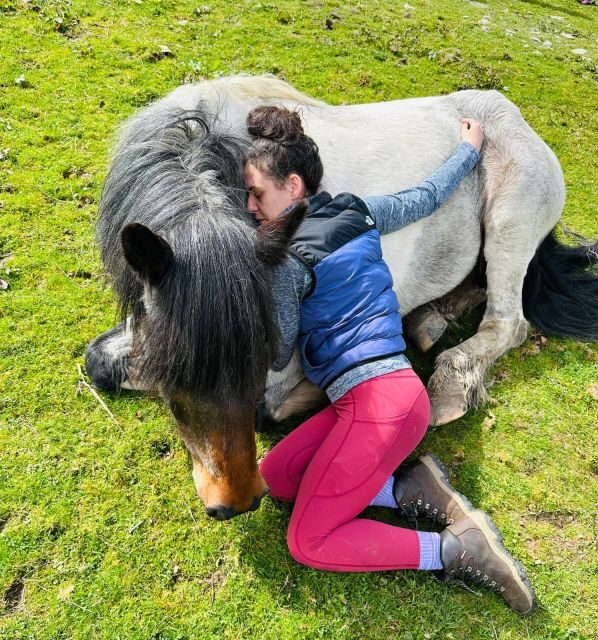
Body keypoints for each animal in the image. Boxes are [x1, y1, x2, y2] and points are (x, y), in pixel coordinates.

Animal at [85, 75, 598, 520]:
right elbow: (101, 359)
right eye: (176, 378)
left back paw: (448, 384)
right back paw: (429, 320)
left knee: (507, 321)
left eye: (258, 358)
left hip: (509, 228)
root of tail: (517, 120)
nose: (234, 503)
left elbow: (266, 406)